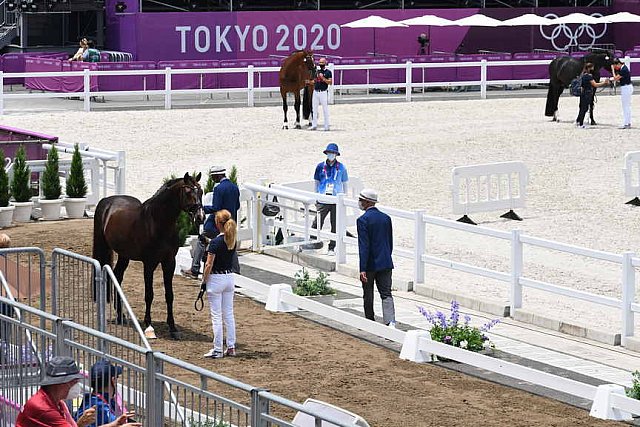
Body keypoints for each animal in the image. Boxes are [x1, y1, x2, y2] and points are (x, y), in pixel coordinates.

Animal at [91, 172, 202, 340]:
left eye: (201, 191)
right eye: (188, 192)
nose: (200, 217)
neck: (157, 222)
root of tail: (107, 200)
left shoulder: (169, 262)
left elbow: (169, 295)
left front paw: (173, 328)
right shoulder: (149, 263)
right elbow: (149, 294)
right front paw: (149, 325)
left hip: (124, 255)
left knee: (118, 276)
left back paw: (121, 316)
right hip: (104, 247)